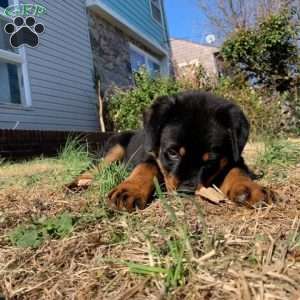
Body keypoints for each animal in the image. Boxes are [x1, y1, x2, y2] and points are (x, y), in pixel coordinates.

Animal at [69, 91, 270, 211]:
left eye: (211, 158)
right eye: (172, 153)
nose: (185, 191)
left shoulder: (234, 157)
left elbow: (236, 170)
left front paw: (249, 189)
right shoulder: (151, 154)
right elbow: (145, 168)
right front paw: (129, 190)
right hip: (113, 148)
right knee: (93, 169)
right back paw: (75, 185)